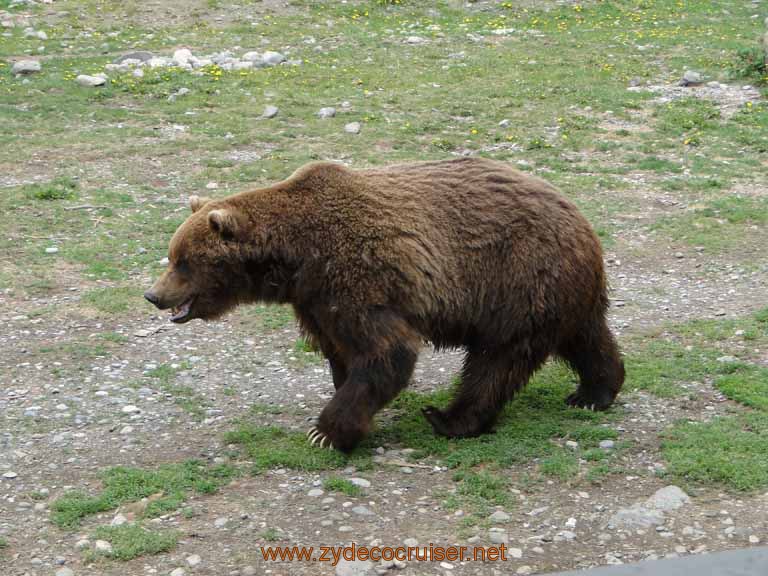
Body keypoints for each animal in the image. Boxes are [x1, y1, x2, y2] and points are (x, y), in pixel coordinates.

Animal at [144, 156, 624, 450]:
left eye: (183, 262)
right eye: (172, 256)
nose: (154, 295)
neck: (297, 260)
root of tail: (582, 220)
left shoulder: (356, 278)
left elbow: (386, 352)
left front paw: (326, 431)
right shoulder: (316, 300)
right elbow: (341, 351)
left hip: (516, 278)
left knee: (496, 362)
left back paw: (448, 419)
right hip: (556, 291)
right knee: (586, 337)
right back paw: (594, 392)